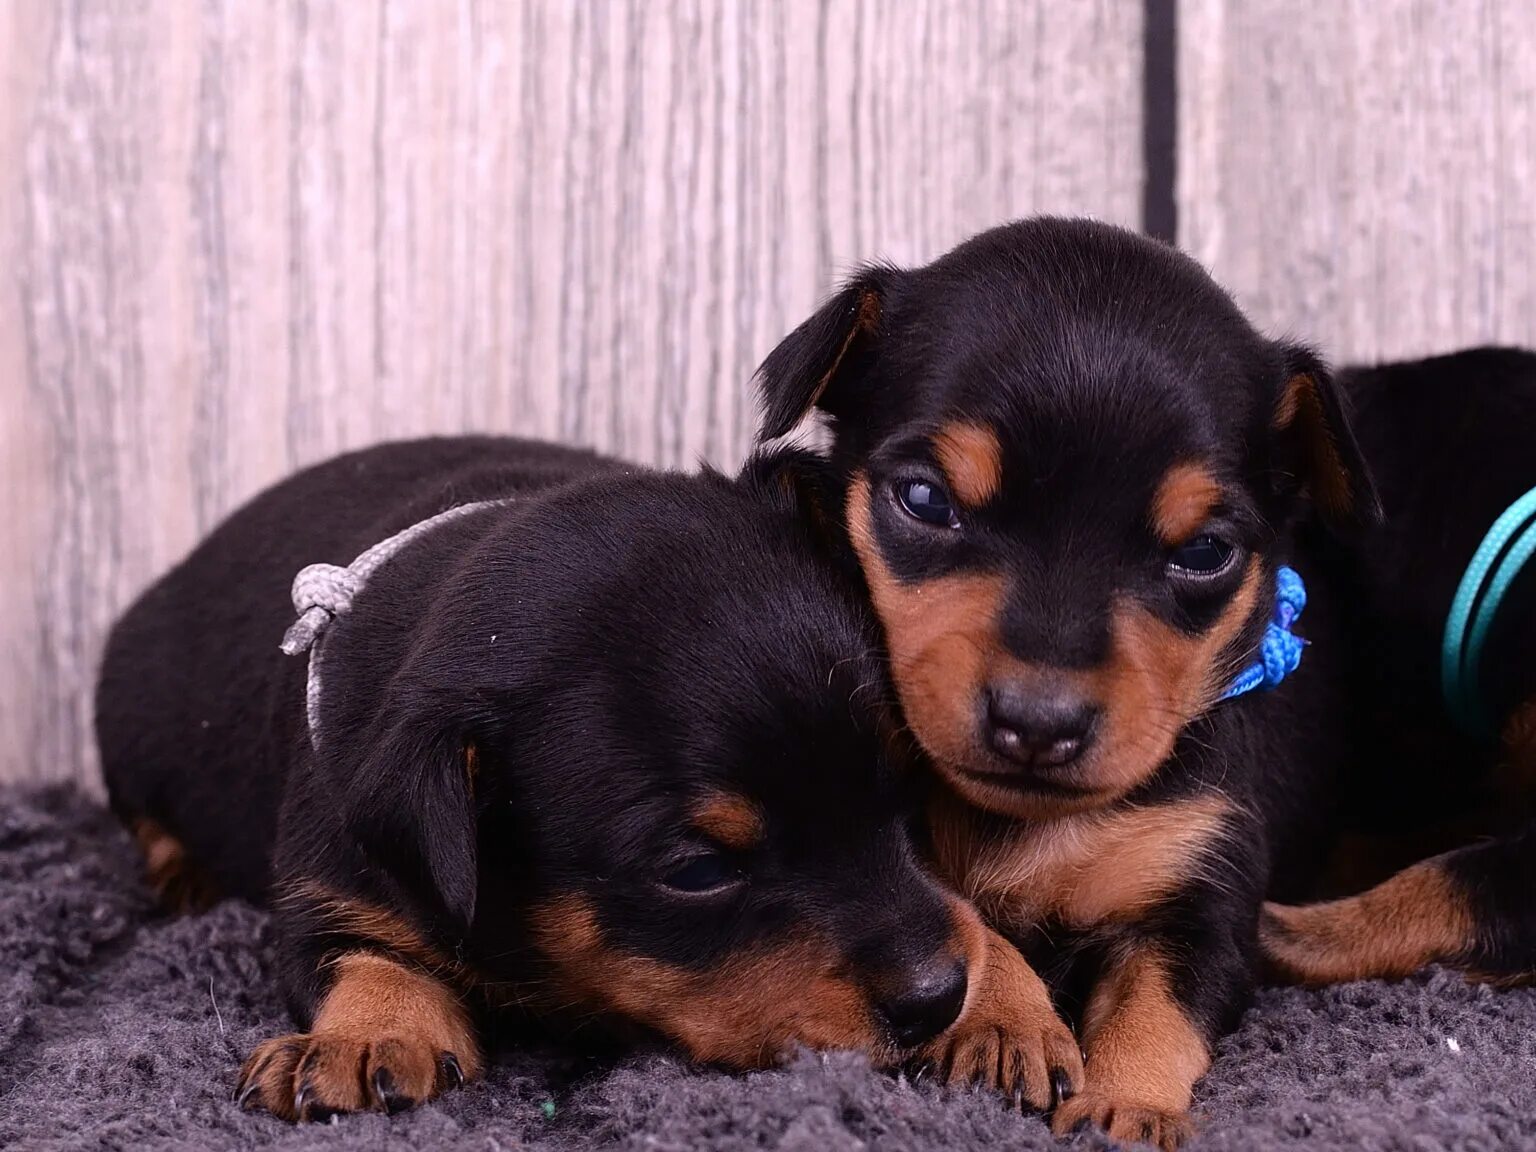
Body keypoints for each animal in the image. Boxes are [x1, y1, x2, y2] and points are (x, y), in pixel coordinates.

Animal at [99, 436, 1081, 1124]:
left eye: (911, 793)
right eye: (695, 870)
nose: (933, 999)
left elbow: (957, 912)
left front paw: (1004, 1007)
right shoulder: (329, 875)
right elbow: (365, 956)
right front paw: (368, 1033)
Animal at [755, 218, 1382, 1152]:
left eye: (1206, 553)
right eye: (924, 500)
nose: (1038, 723)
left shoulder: (1205, 894)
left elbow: (1159, 1006)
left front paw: (1130, 1106)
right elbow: (966, 921)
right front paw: (1007, 1020)